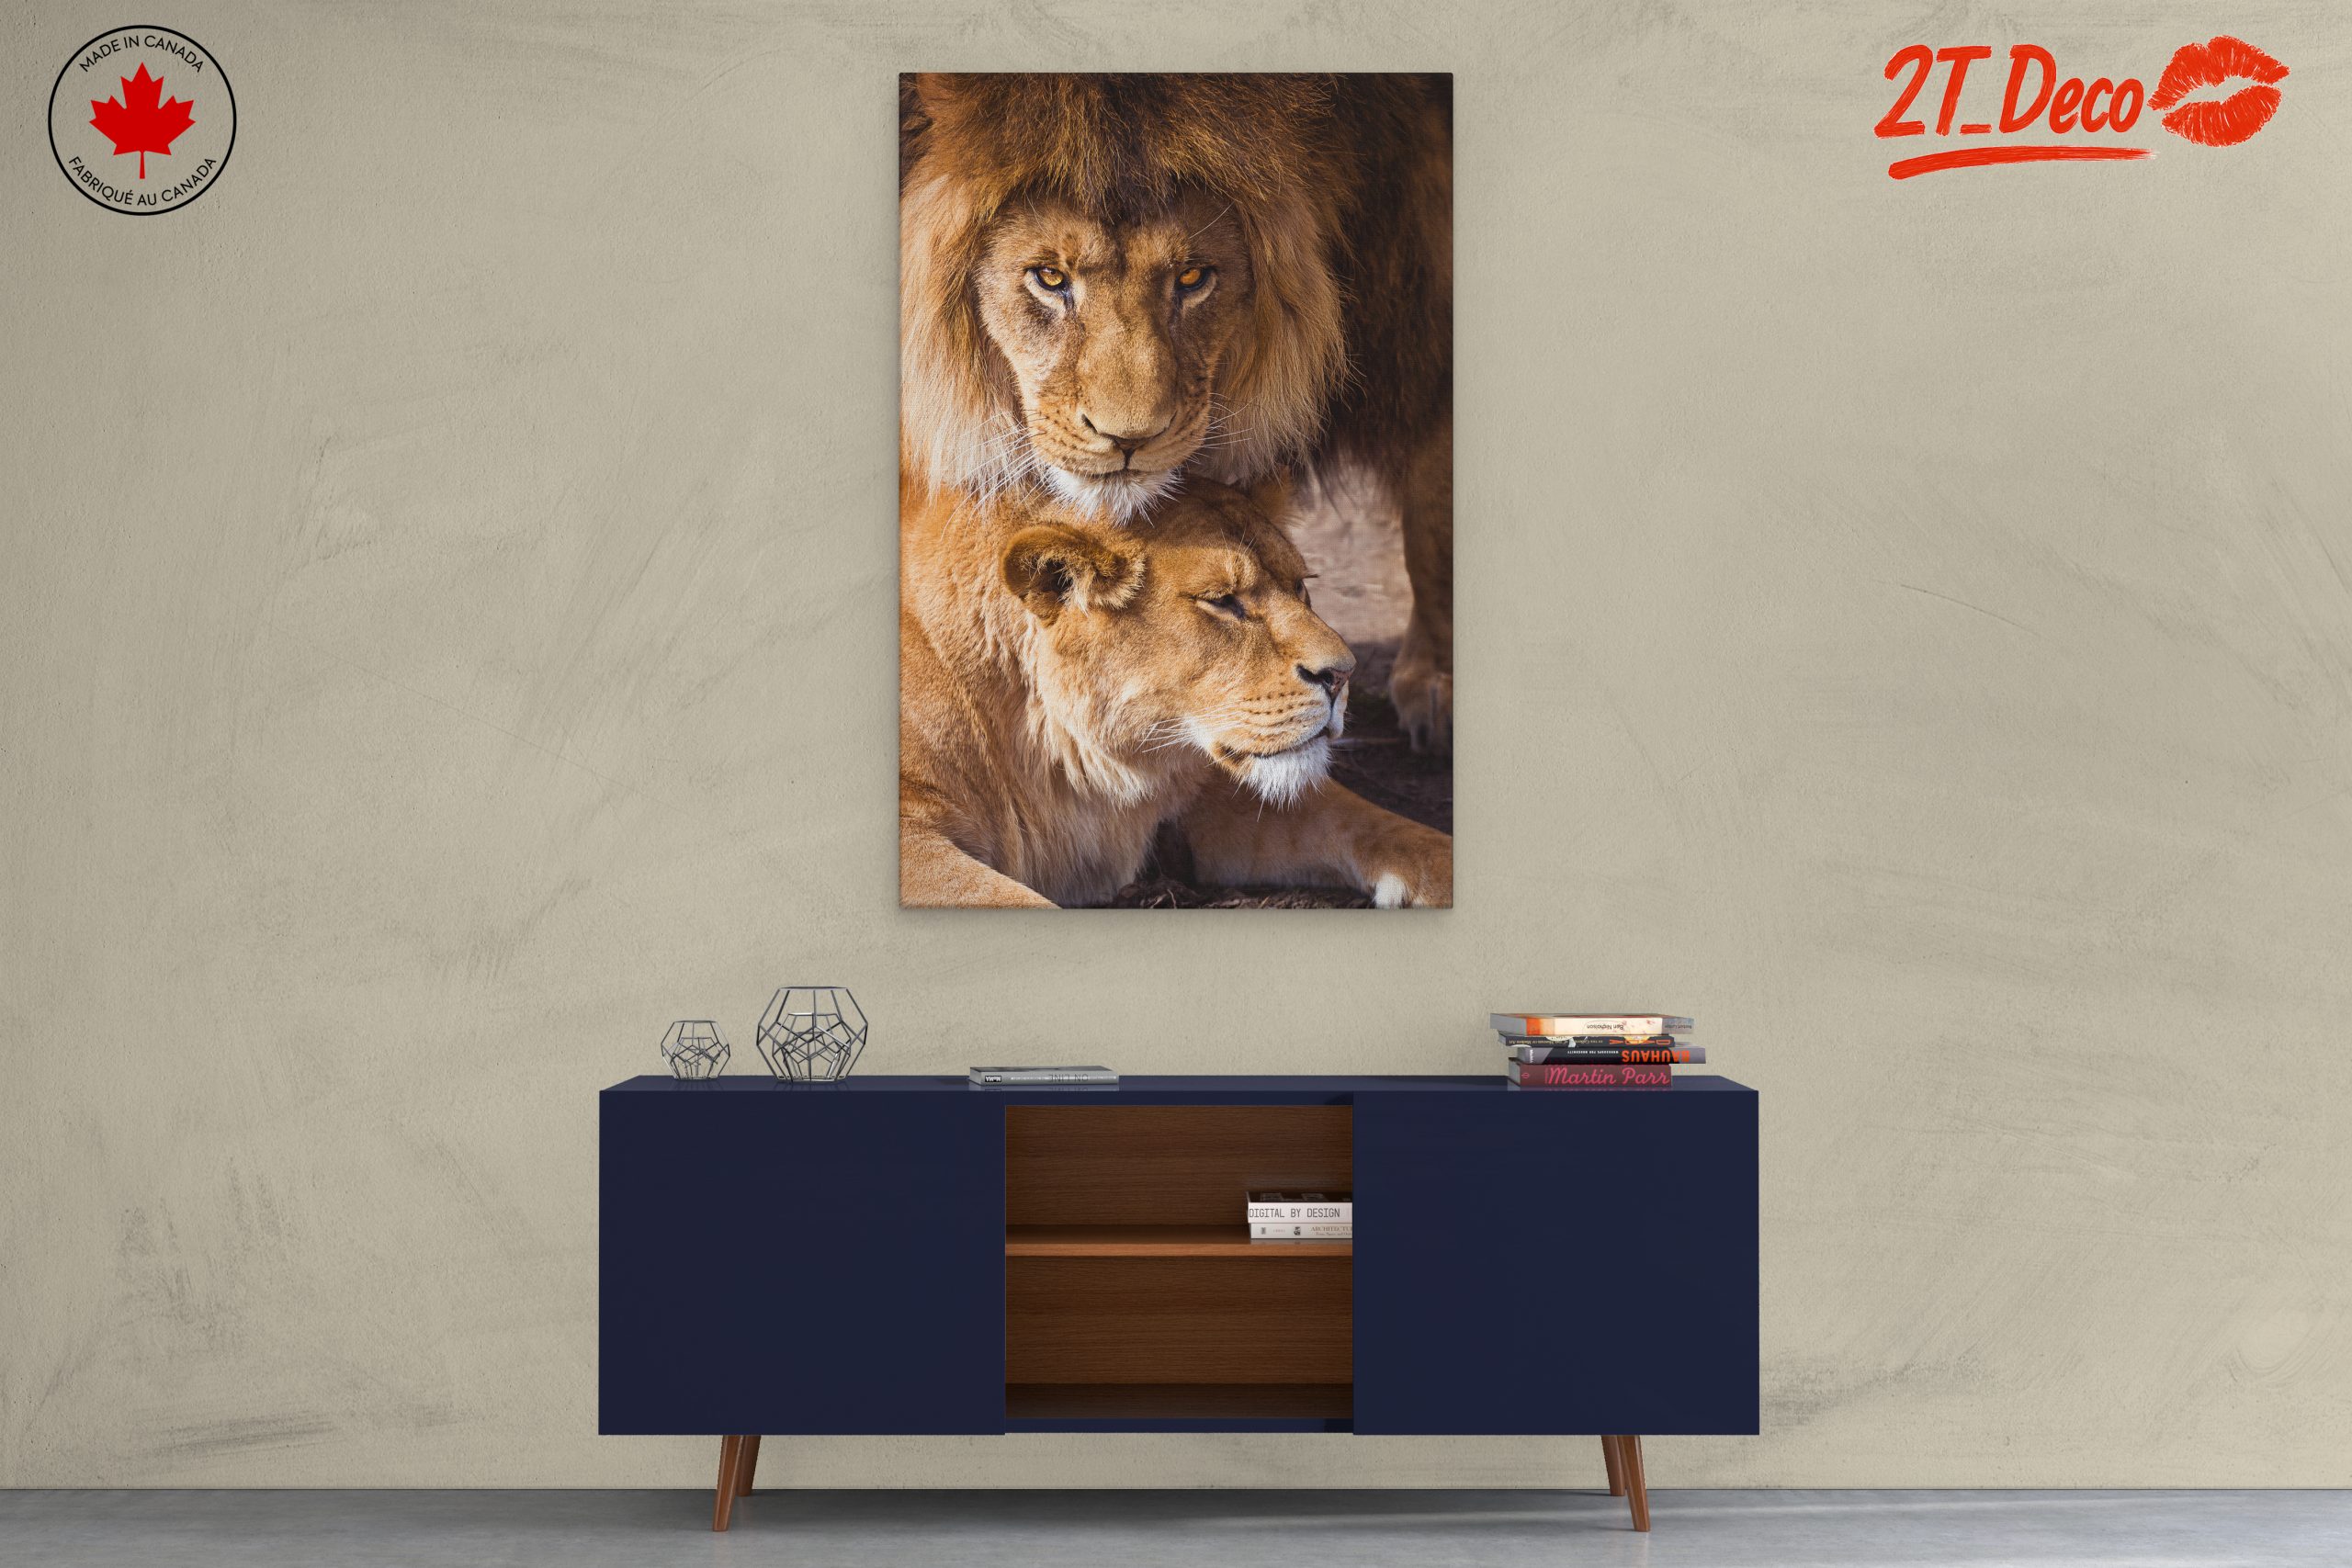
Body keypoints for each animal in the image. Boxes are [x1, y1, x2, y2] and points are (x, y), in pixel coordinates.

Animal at [900, 478, 1452, 908]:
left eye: (1300, 585)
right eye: (1223, 601)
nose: (1342, 674)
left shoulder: (1205, 790)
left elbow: (1381, 826)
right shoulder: (913, 838)